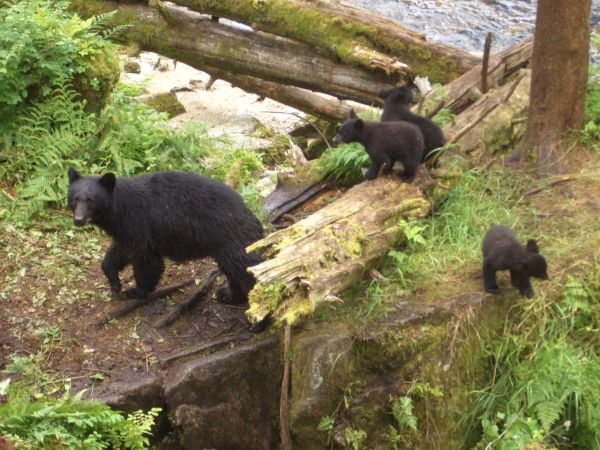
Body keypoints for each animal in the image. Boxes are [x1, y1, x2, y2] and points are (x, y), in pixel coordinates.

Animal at [66, 169, 262, 306]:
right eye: (75, 199)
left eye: (90, 200)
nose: (78, 220)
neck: (120, 211)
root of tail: (252, 216)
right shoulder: (126, 231)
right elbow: (118, 253)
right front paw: (115, 283)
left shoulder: (140, 225)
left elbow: (147, 261)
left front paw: (136, 291)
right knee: (234, 272)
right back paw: (229, 295)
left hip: (232, 240)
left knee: (247, 269)